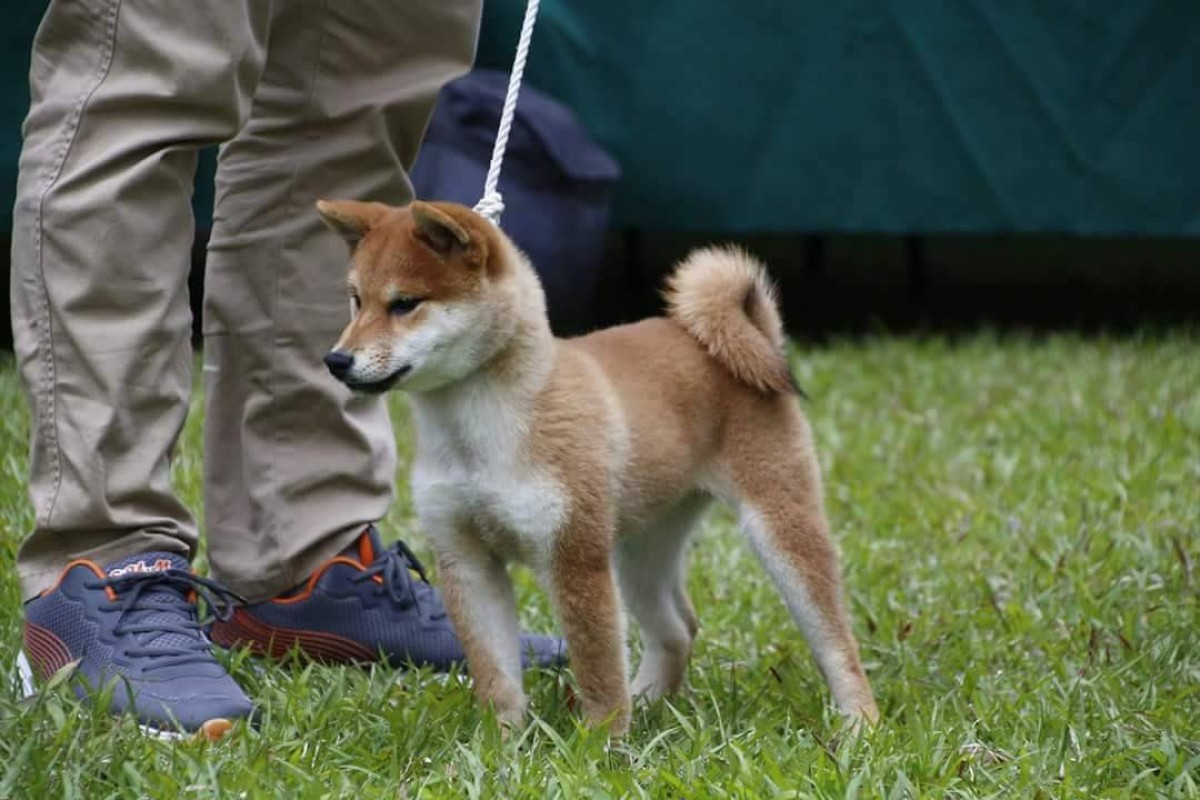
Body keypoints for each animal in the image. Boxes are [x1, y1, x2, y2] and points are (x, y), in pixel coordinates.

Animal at [316, 196, 883, 734]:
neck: (477, 434)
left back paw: (859, 725)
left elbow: (597, 666)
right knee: (678, 629)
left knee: (837, 642)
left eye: (405, 304)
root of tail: (743, 334)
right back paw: (648, 701)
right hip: (640, 550)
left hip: (776, 526)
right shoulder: (467, 560)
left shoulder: (575, 555)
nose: (336, 360)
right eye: (356, 299)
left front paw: (601, 747)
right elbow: (497, 677)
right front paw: (501, 746)